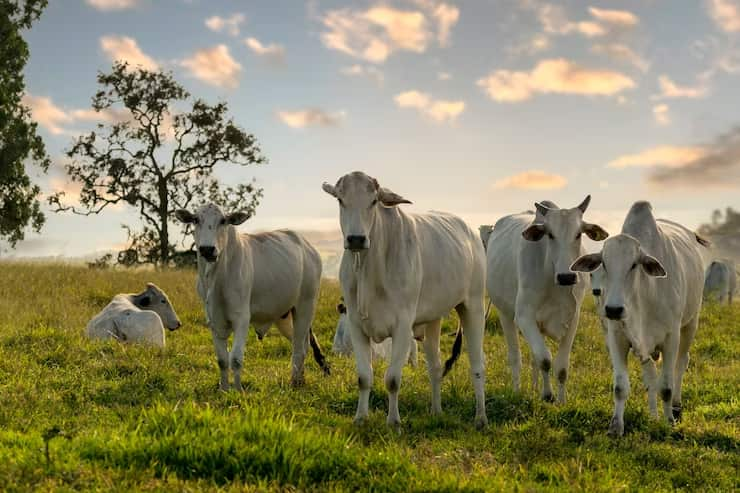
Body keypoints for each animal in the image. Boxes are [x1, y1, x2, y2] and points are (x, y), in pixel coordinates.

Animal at [175, 202, 328, 390]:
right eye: (196, 219)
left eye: (223, 221)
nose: (207, 249)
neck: (216, 279)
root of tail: (308, 248)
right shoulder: (213, 320)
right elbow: (222, 360)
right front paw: (224, 389)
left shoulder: (242, 318)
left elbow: (236, 359)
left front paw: (238, 390)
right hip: (284, 316)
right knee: (300, 343)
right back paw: (300, 380)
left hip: (306, 306)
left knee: (299, 348)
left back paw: (295, 383)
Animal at [320, 172, 488, 426]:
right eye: (340, 200)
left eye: (373, 201)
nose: (356, 239)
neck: (369, 268)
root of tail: (470, 232)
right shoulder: (356, 325)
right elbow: (364, 377)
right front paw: (360, 418)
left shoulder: (402, 326)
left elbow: (392, 379)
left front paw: (394, 422)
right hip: (433, 320)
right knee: (435, 366)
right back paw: (436, 411)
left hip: (473, 306)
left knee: (477, 365)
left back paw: (480, 418)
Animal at [482, 194, 608, 402]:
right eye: (550, 235)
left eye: (578, 234)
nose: (567, 277)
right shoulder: (524, 316)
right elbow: (545, 358)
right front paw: (548, 395)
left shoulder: (573, 318)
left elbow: (561, 367)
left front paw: (561, 400)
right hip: (504, 313)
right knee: (515, 357)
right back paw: (517, 390)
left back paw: (534, 388)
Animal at [568, 200, 708, 434]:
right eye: (604, 263)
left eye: (634, 265)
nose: (613, 309)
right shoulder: (617, 338)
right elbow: (621, 387)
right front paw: (616, 427)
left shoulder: (671, 338)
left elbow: (666, 386)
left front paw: (669, 422)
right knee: (650, 378)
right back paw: (653, 416)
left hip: (691, 323)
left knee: (681, 364)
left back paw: (676, 409)